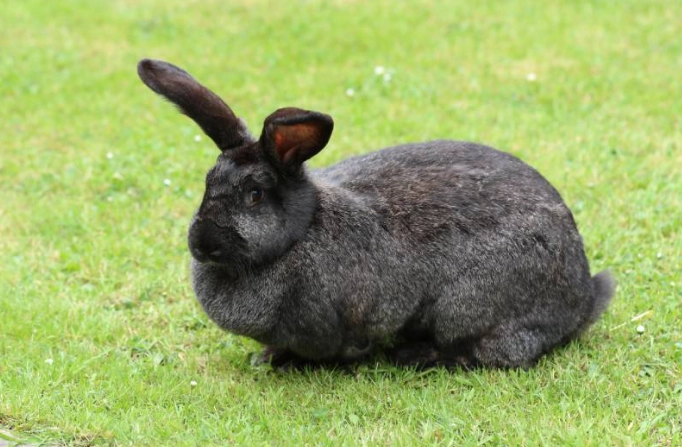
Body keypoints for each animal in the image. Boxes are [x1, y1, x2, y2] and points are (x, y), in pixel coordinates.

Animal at [137, 58, 615, 369]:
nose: (202, 243)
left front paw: (285, 362)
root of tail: (582, 297)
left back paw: (417, 355)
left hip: (467, 307)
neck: (301, 232)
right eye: (207, 183)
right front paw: (267, 357)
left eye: (255, 194)